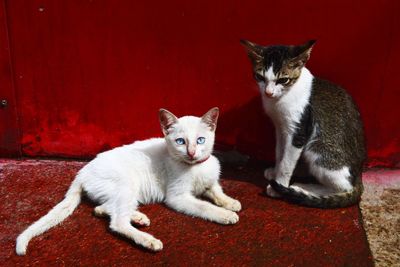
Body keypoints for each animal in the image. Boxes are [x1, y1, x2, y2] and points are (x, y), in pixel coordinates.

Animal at [15, 107, 241, 255]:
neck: (195, 167)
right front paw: (226, 215)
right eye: (180, 142)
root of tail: (82, 172)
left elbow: (217, 191)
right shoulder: (178, 197)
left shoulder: (210, 182)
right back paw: (148, 240)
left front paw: (231, 203)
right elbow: (204, 207)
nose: (192, 153)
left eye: (201, 140)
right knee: (116, 221)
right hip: (127, 186)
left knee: (102, 208)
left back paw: (138, 217)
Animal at [241, 39, 366, 209]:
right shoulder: (280, 128)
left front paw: (279, 185)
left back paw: (303, 189)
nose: (268, 92)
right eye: (260, 77)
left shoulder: (298, 131)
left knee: (343, 187)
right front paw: (275, 172)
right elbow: (280, 152)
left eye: (283, 80)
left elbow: (287, 163)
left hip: (316, 150)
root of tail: (359, 174)